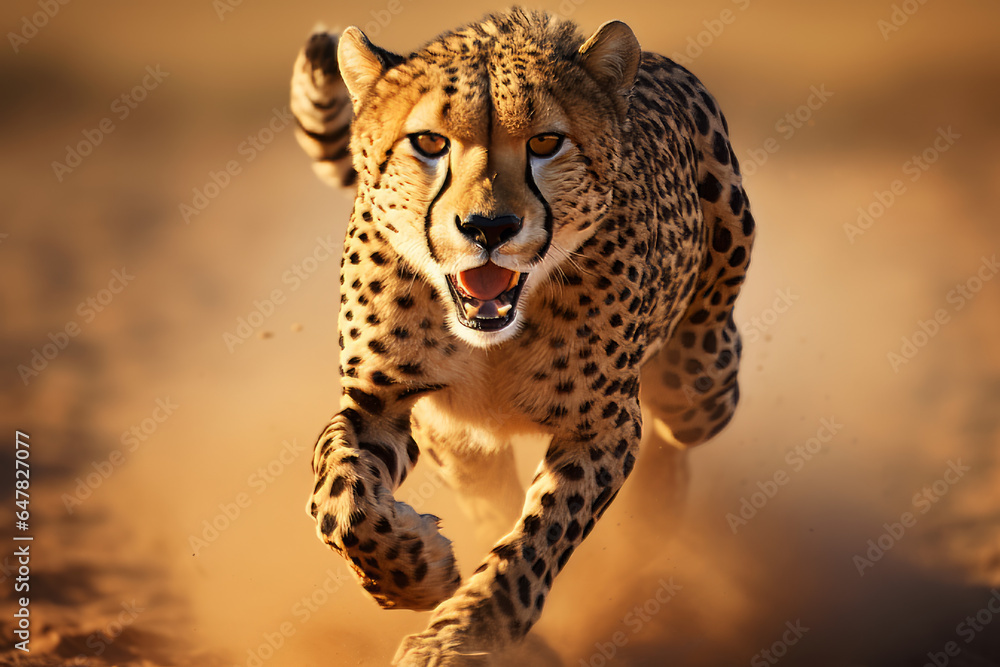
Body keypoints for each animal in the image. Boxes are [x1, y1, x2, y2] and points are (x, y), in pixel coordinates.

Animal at [290, 8, 755, 664]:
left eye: (544, 143)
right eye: (429, 143)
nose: (489, 227)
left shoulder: (602, 423)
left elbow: (538, 536)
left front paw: (462, 633)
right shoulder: (385, 402)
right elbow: (339, 497)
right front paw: (417, 574)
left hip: (701, 379)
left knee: (680, 416)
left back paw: (656, 513)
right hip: (459, 443)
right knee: (487, 496)